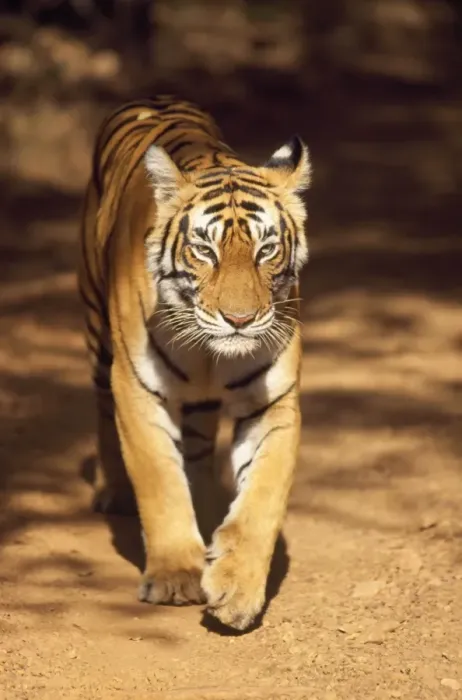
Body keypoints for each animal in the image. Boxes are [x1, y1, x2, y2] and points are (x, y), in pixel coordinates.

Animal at [78, 95, 311, 631]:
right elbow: (161, 484)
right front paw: (175, 577)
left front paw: (237, 589)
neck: (210, 355)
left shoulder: (273, 404)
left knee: (201, 451)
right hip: (98, 334)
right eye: (205, 250)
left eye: (267, 249)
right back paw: (112, 492)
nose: (240, 320)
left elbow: (263, 500)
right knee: (100, 411)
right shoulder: (137, 391)